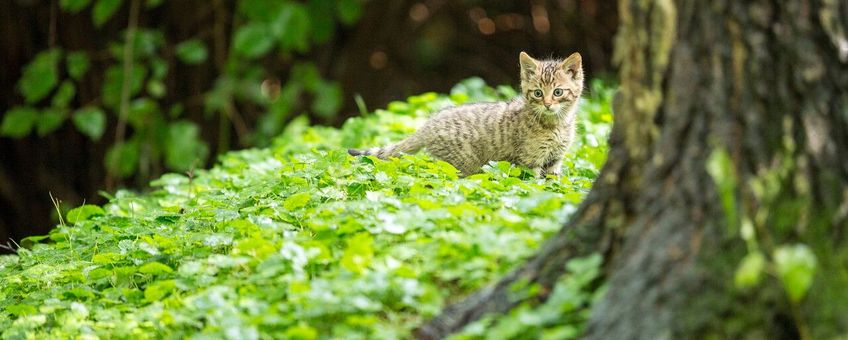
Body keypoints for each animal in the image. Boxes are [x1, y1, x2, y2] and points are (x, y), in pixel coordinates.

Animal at [346, 52, 584, 179]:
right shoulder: (529, 161)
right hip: (463, 164)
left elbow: (553, 183)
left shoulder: (554, 161)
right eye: (537, 93)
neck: (556, 124)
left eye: (558, 92)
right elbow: (532, 185)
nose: (548, 104)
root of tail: (428, 125)